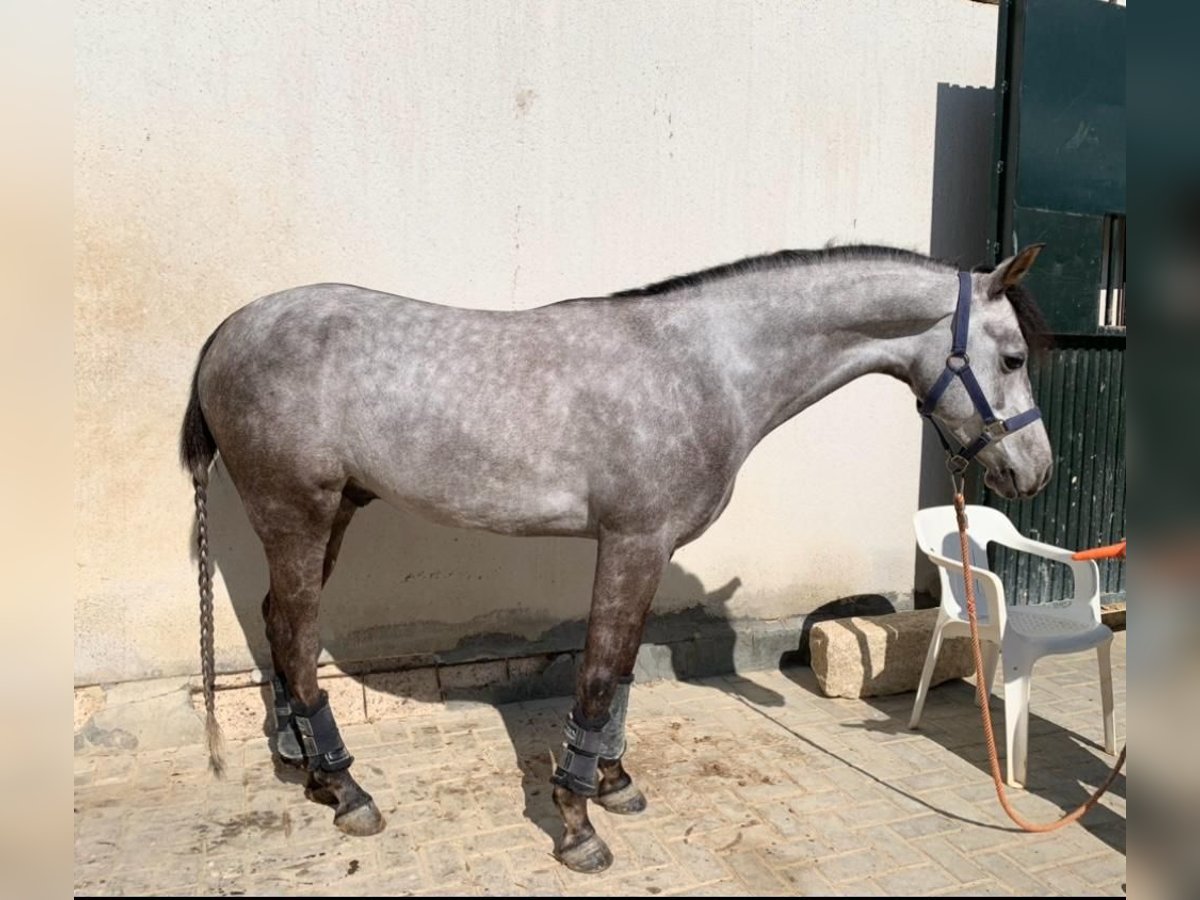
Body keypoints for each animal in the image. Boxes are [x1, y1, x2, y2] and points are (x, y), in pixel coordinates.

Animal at [180, 244, 1051, 873]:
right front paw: (575, 825)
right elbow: (599, 675)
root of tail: (225, 332)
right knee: (296, 639)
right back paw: (348, 790)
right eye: (1012, 358)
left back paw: (307, 768)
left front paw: (613, 784)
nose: (1035, 473)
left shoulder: (648, 549)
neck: (705, 366)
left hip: (330, 516)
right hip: (298, 516)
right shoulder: (632, 542)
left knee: (278, 628)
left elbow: (625, 669)